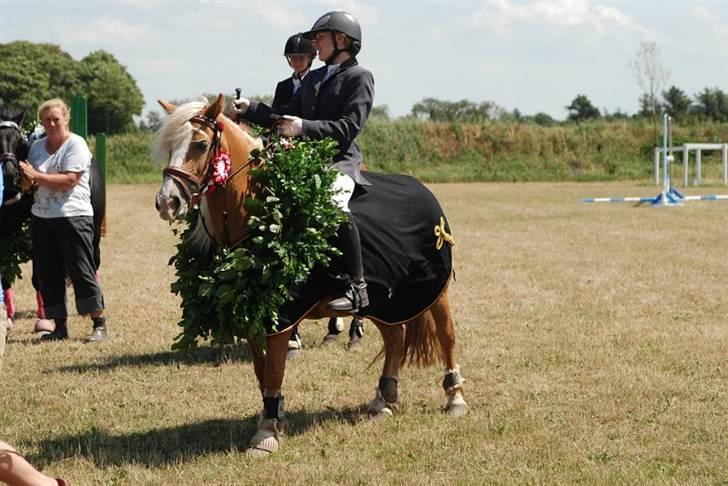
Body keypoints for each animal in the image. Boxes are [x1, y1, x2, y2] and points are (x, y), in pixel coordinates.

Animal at [156, 94, 470, 456]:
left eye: (201, 144)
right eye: (169, 146)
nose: (166, 202)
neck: (264, 209)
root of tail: (423, 190)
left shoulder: (282, 315)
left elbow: (275, 370)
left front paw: (266, 433)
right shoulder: (254, 312)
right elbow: (262, 371)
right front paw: (274, 417)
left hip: (435, 290)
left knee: (447, 337)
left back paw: (455, 398)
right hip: (384, 300)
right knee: (395, 337)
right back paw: (384, 400)